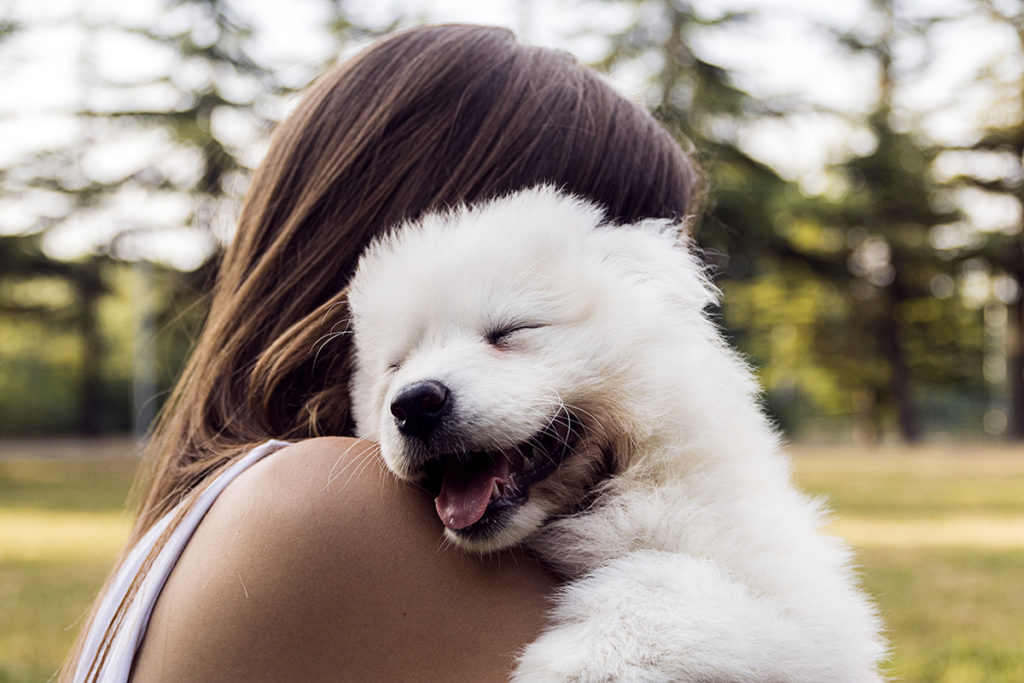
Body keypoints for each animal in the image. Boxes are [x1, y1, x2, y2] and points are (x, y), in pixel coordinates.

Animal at [346, 184, 888, 679]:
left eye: (510, 331)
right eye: (395, 365)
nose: (413, 404)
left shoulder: (808, 612)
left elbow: (658, 572)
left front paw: (579, 663)